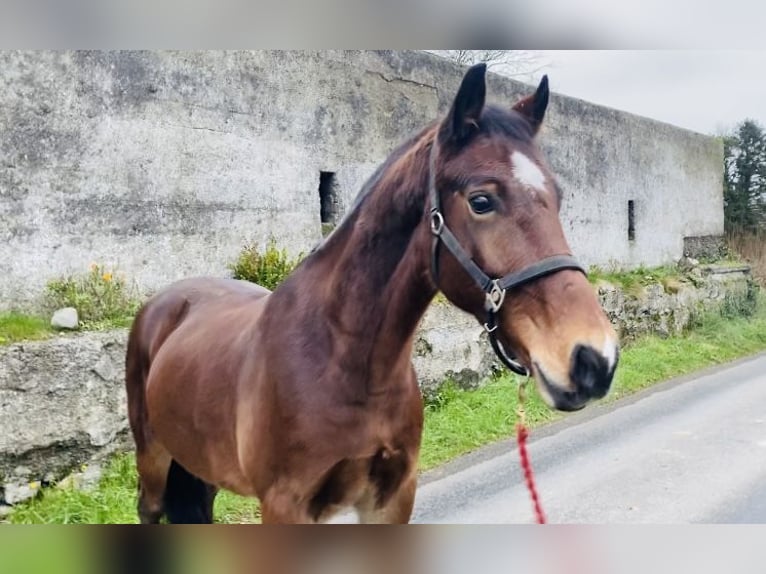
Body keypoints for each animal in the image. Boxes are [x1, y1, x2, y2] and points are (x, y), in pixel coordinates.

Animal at [124, 64, 616, 528]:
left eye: (558, 197)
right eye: (481, 201)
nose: (595, 359)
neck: (342, 360)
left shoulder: (392, 497)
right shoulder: (285, 506)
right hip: (153, 458)